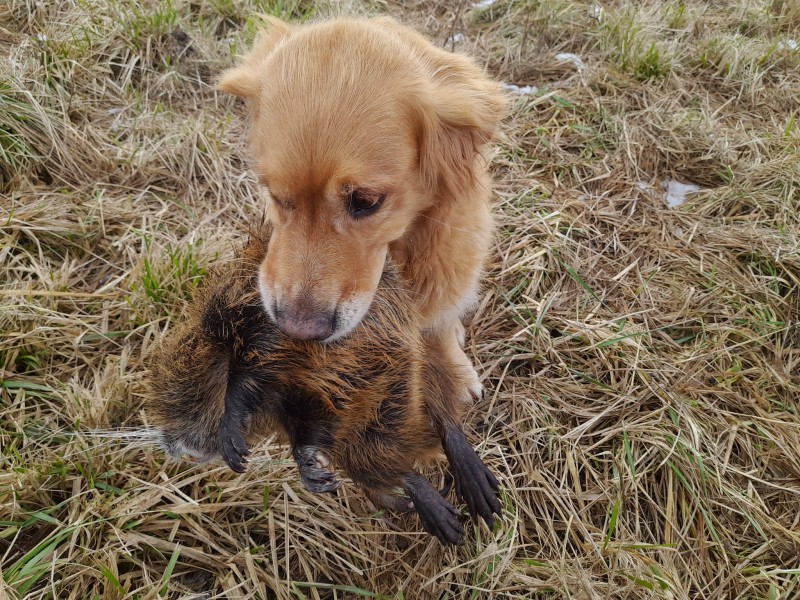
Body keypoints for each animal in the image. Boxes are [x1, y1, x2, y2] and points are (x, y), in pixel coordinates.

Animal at [218, 16, 506, 405]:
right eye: (275, 195)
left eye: (366, 201)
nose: (299, 331)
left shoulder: (449, 261)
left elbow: (441, 322)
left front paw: (456, 371)